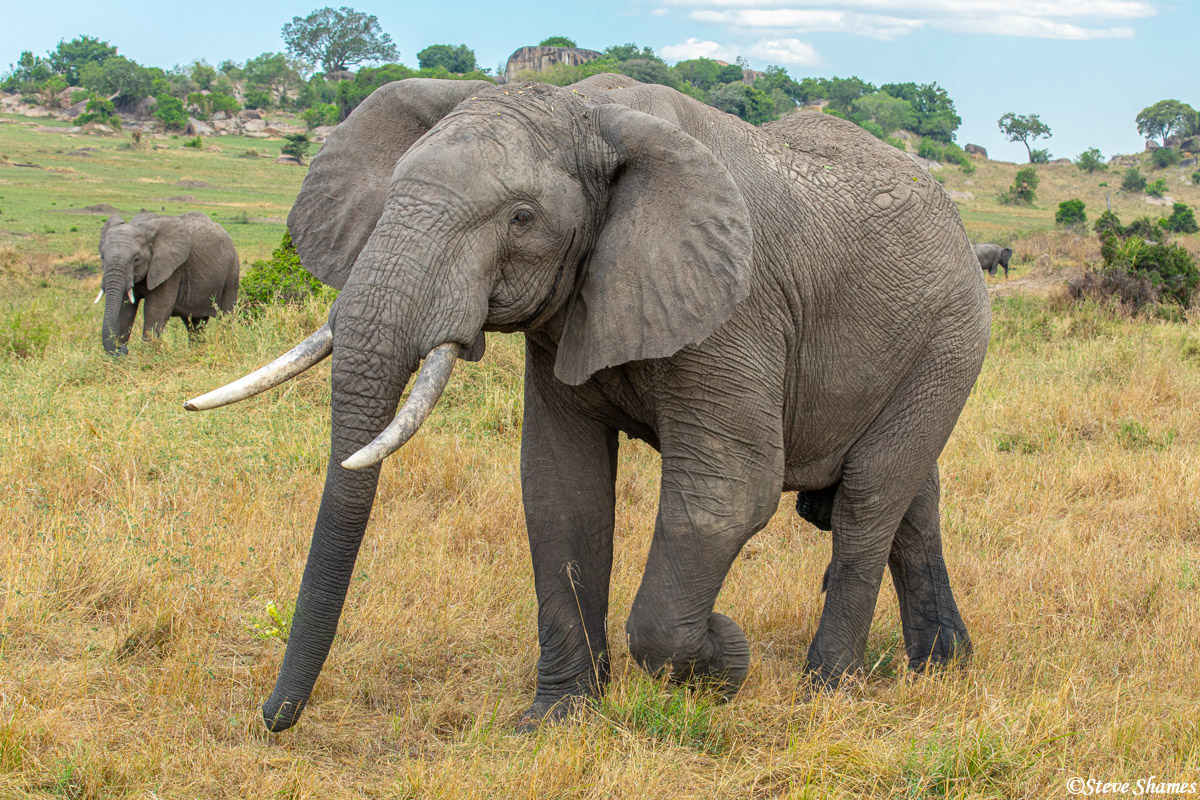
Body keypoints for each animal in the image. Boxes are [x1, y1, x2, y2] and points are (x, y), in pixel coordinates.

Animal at [98, 211, 239, 354]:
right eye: (102, 257)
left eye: (136, 259)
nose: (123, 349)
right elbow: (125, 312)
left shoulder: (172, 270)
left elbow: (155, 313)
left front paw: (146, 356)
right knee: (194, 323)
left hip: (232, 272)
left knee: (226, 317)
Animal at [186, 74, 991, 733]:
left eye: (520, 218)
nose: (272, 718)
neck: (582, 108)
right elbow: (560, 487)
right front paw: (556, 721)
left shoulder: (739, 307)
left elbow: (724, 495)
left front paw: (726, 656)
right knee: (910, 501)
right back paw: (942, 666)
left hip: (951, 338)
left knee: (867, 502)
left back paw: (826, 690)